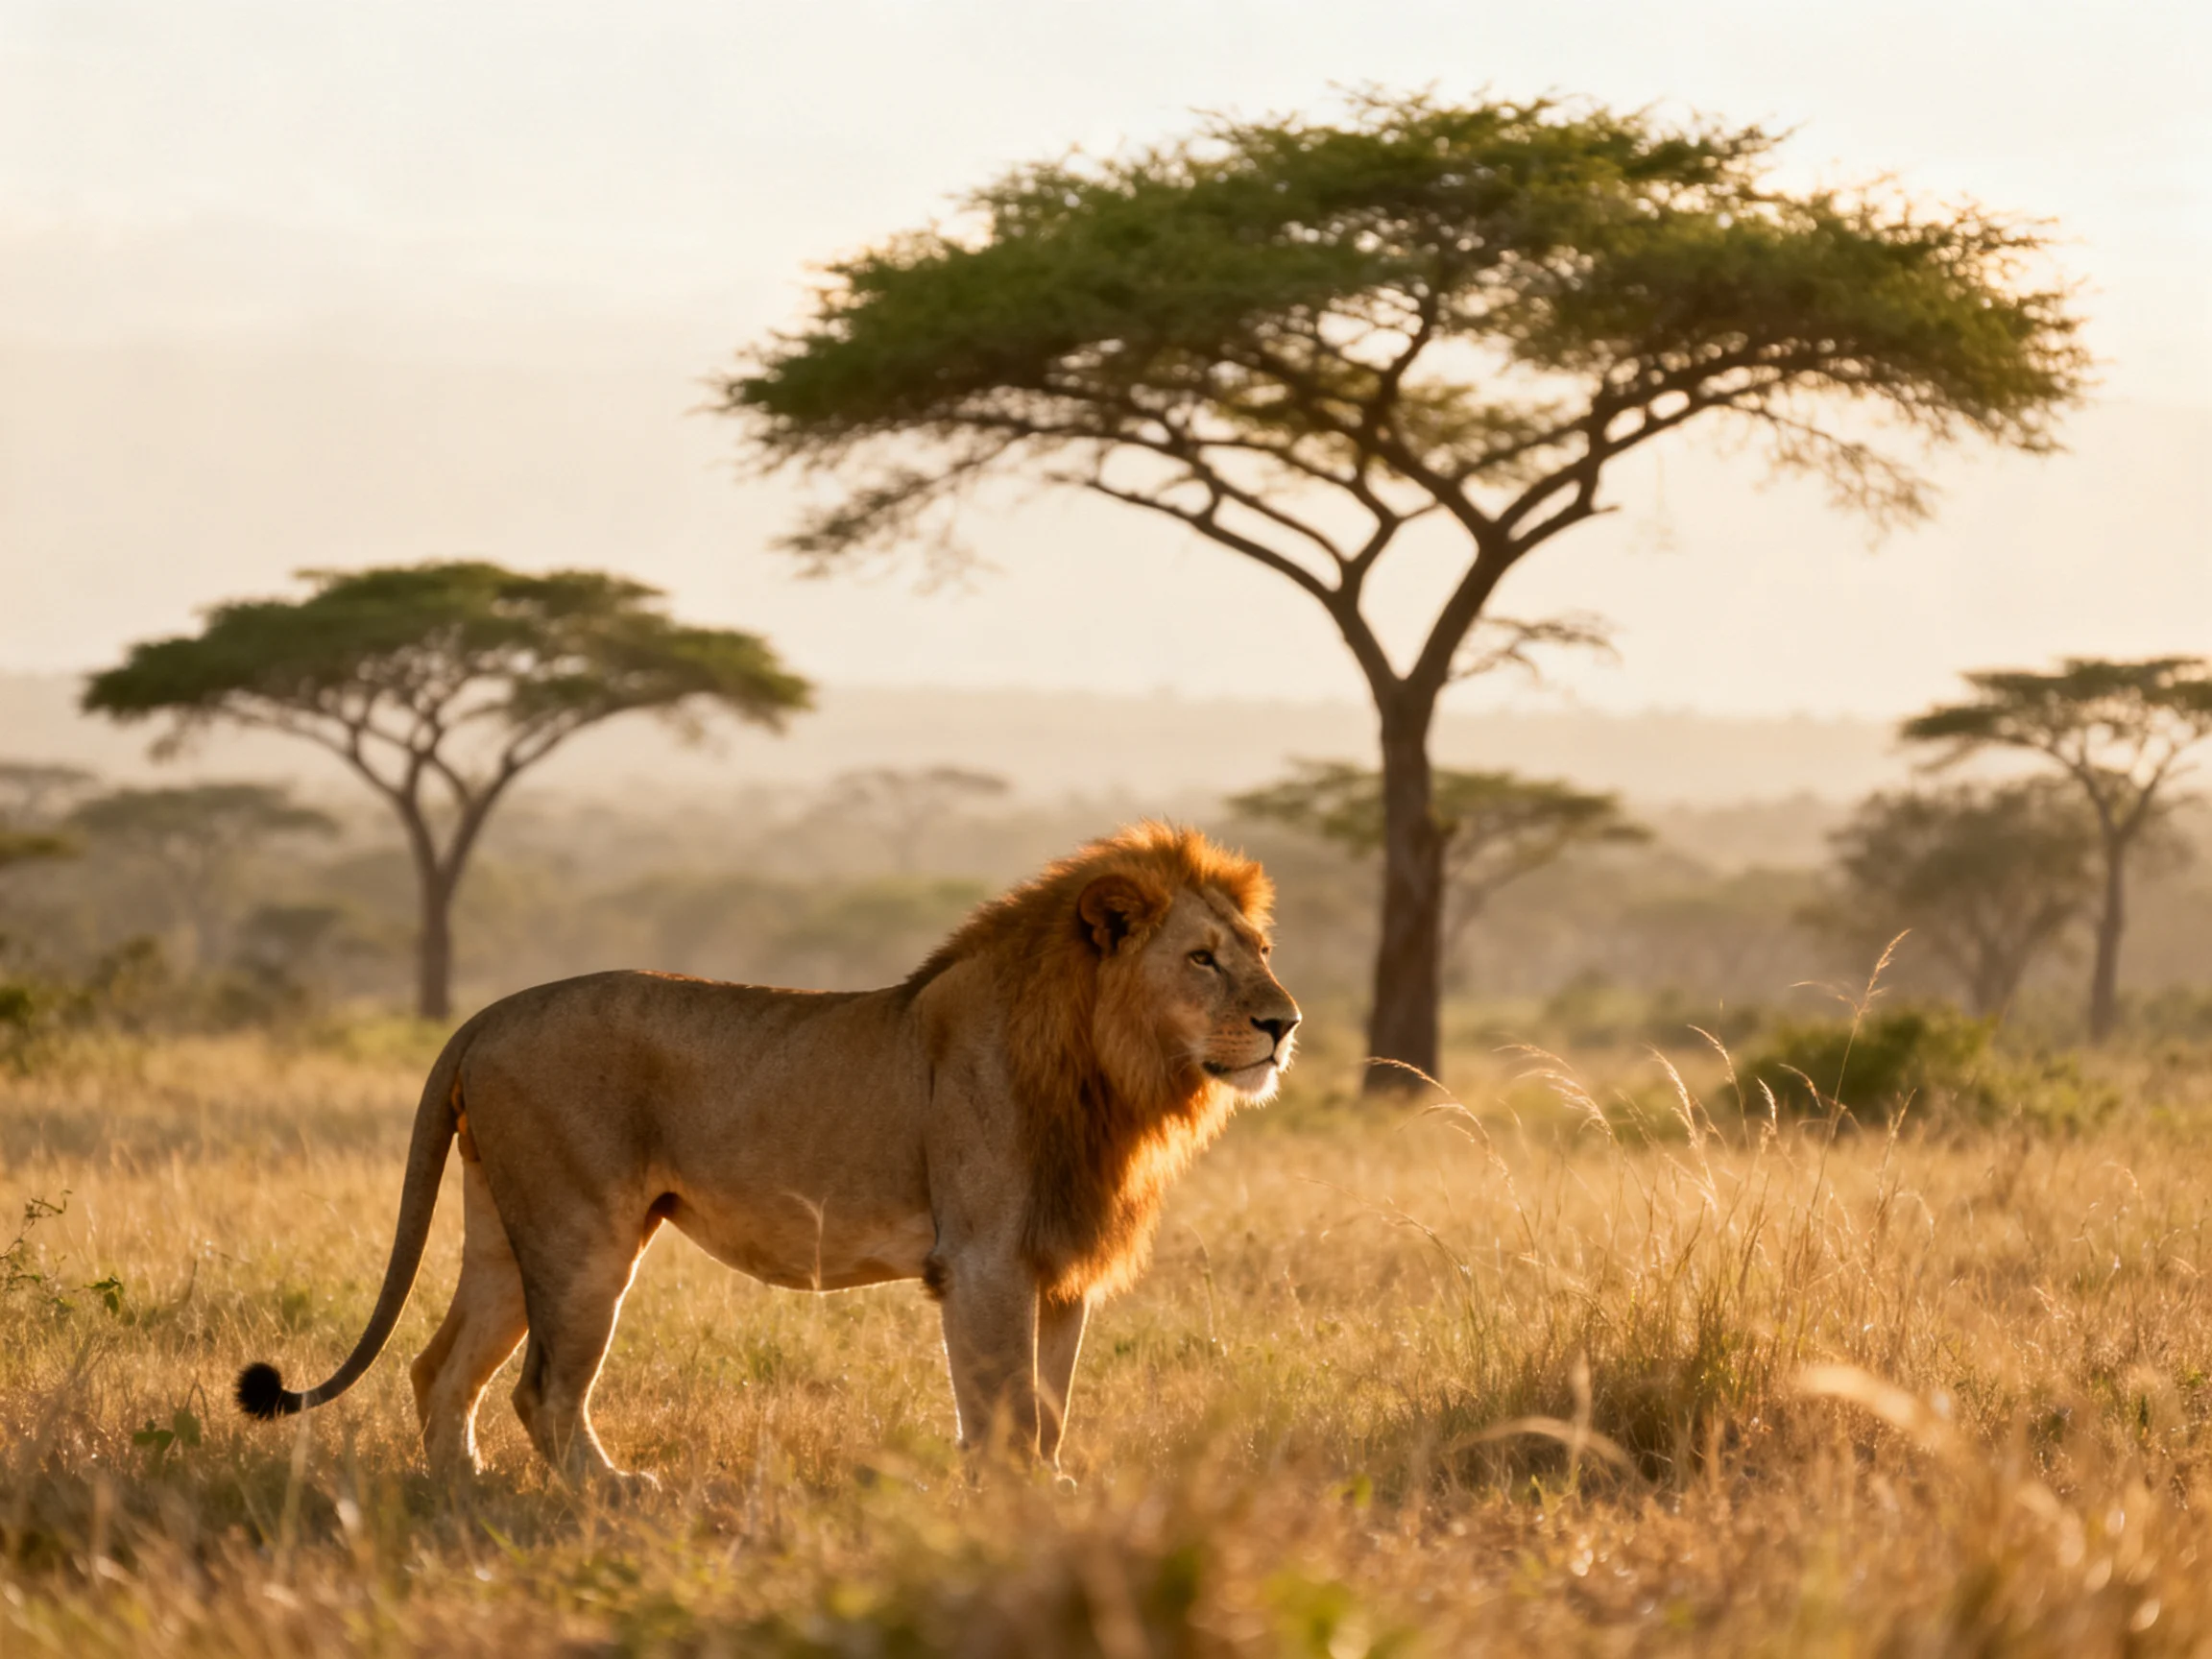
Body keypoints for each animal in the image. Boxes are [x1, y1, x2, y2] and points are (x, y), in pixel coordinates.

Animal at [236, 822, 1298, 1483]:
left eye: (1259, 950)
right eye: (1202, 959)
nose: (1284, 1023)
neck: (1108, 1075)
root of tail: (486, 1017)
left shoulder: (1061, 1263)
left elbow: (1050, 1400)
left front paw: (1050, 1491)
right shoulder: (985, 1258)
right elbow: (1006, 1402)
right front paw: (1013, 1505)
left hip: (504, 1228)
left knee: (441, 1368)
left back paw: (465, 1495)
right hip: (583, 1237)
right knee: (541, 1389)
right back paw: (608, 1493)